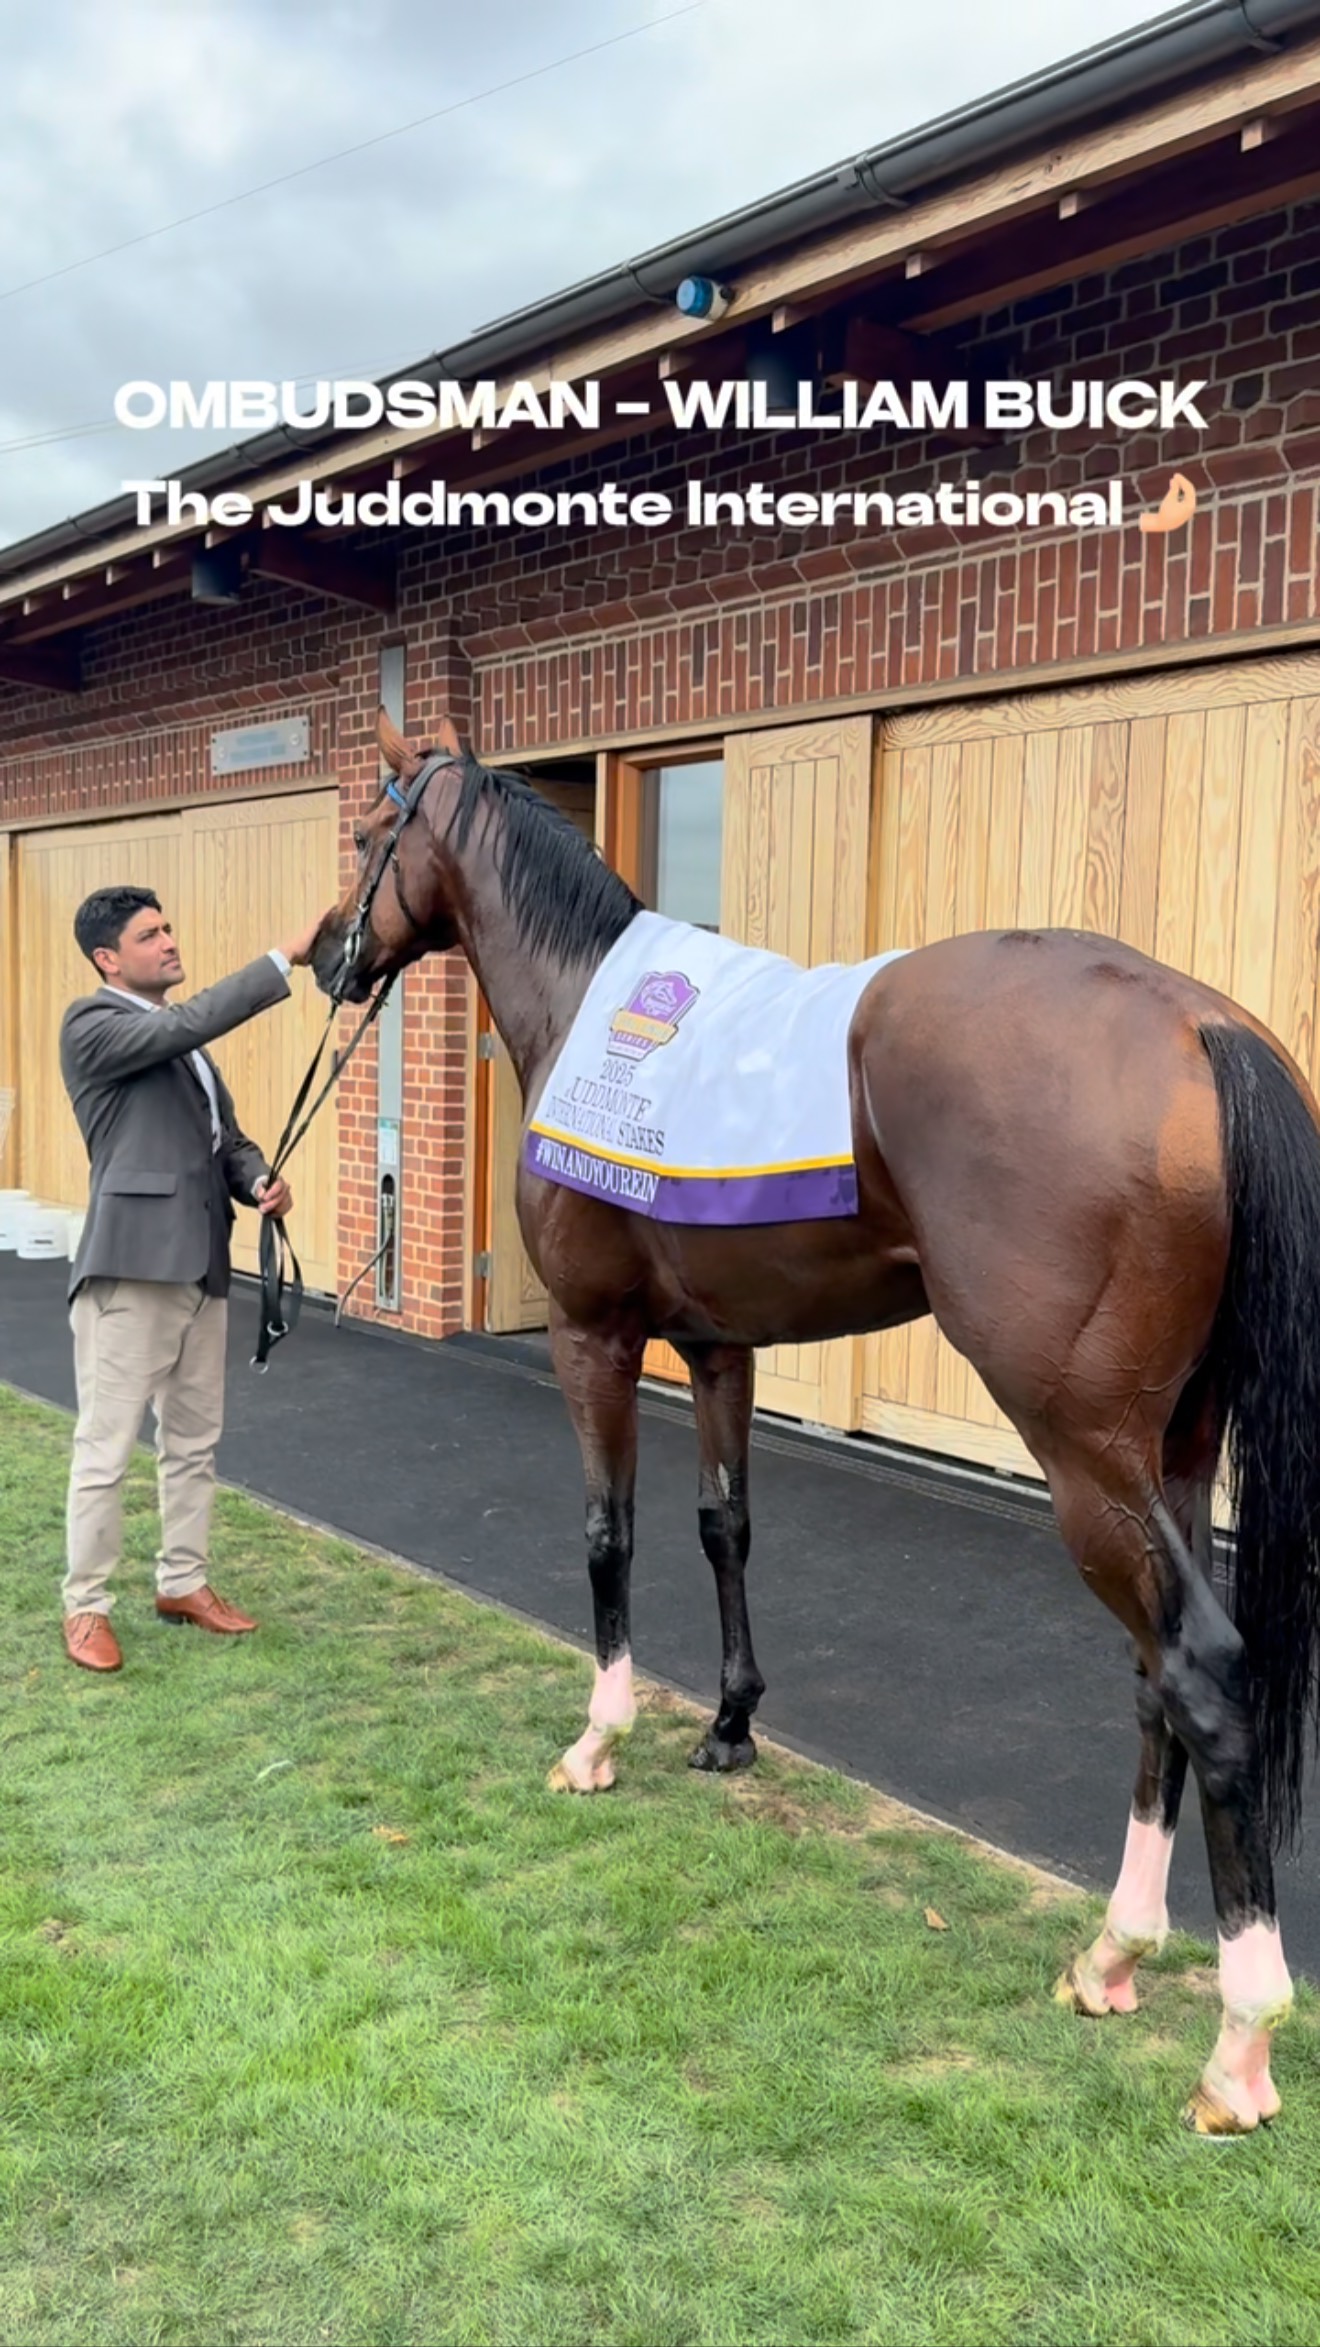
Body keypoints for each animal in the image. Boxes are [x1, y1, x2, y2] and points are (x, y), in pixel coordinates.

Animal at [308, 709, 1320, 2136]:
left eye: (367, 832)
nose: (323, 956)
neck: (589, 1002)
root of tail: (1199, 1025)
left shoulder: (594, 1339)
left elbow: (611, 1533)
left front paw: (600, 1741)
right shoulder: (717, 1349)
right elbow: (723, 1524)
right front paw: (730, 1725)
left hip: (1085, 1454)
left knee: (1204, 1674)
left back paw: (1237, 2048)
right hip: (1170, 1451)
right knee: (1152, 1680)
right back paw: (1113, 1957)